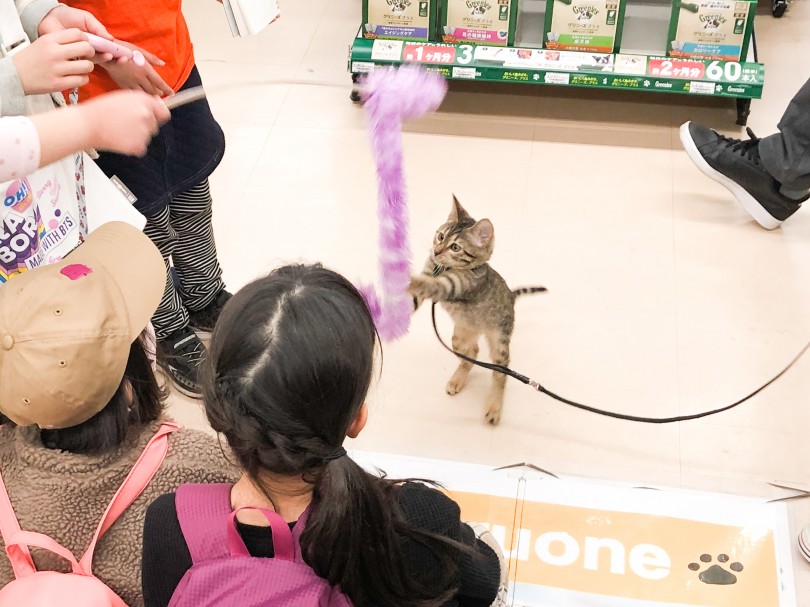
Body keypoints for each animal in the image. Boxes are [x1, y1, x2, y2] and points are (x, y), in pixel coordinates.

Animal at [410, 197, 544, 426]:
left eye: (455, 247)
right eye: (441, 236)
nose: (436, 251)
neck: (443, 269)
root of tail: (511, 296)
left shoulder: (455, 285)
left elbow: (431, 285)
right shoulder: (429, 271)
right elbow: (416, 294)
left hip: (499, 342)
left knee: (501, 373)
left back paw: (494, 407)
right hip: (460, 335)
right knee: (472, 353)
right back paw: (457, 380)